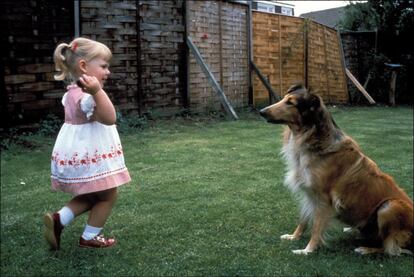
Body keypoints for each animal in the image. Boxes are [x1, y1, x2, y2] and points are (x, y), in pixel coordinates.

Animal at [260, 83, 412, 254]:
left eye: (290, 103)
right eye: (284, 99)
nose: (261, 112)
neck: (313, 138)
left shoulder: (323, 198)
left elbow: (316, 227)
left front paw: (308, 250)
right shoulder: (308, 194)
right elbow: (303, 219)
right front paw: (294, 237)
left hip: (389, 206)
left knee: (392, 249)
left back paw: (366, 249)